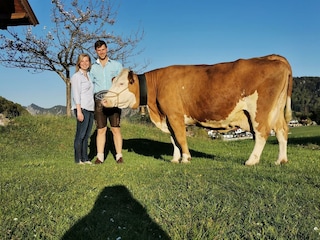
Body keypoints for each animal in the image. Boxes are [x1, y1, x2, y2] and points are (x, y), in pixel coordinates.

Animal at [102, 54, 292, 165]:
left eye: (121, 84)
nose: (104, 100)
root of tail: (271, 58)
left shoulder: (174, 115)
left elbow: (180, 137)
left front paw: (186, 158)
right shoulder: (168, 117)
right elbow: (174, 139)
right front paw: (175, 159)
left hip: (260, 110)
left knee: (262, 133)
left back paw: (251, 161)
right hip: (276, 110)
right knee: (282, 131)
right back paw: (281, 160)